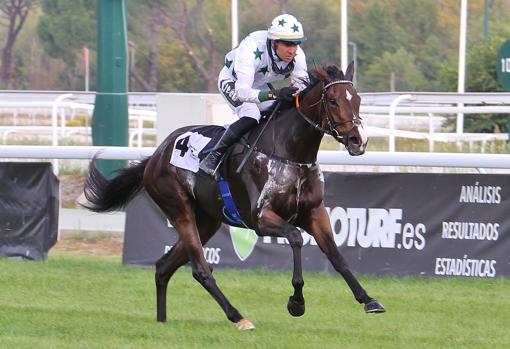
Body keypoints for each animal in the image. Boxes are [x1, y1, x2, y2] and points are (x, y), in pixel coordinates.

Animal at [83, 61, 384, 330]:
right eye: (332, 100)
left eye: (357, 99)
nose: (358, 140)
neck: (289, 152)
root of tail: (155, 156)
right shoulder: (260, 218)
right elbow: (296, 238)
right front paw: (296, 302)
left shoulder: (315, 212)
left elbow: (336, 255)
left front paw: (368, 300)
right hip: (179, 209)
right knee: (201, 270)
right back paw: (238, 317)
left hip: (207, 221)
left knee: (163, 266)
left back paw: (162, 320)